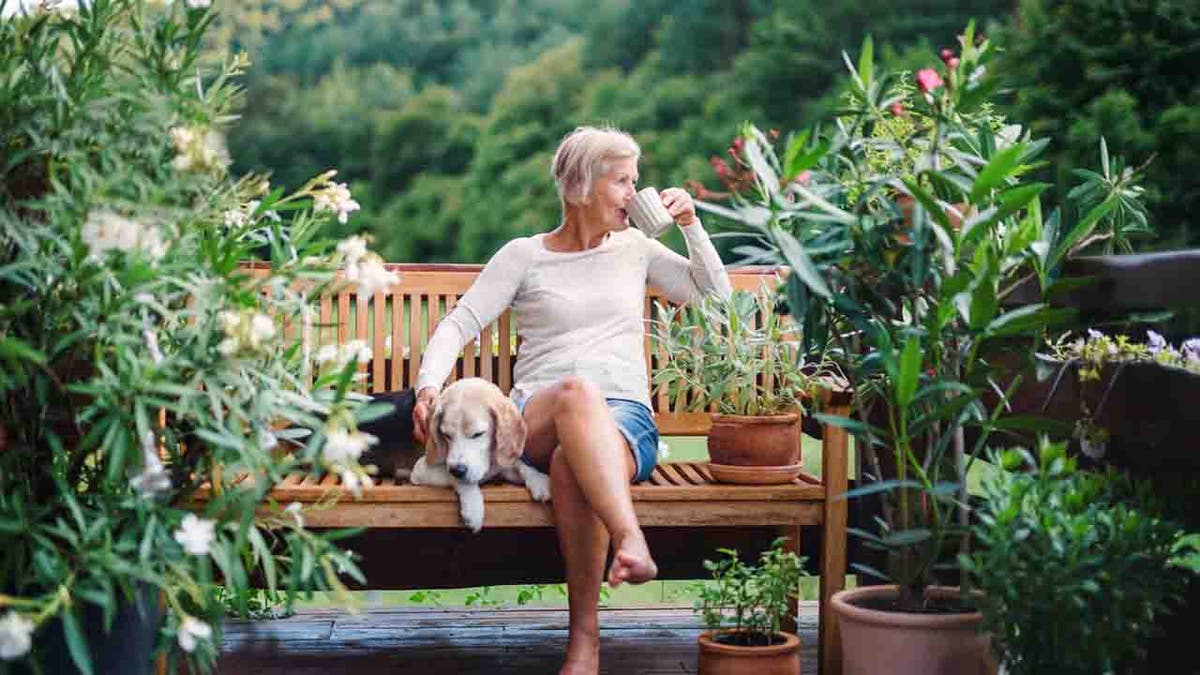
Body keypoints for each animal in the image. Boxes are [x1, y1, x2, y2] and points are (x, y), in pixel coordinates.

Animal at [405, 379, 549, 530]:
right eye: (446, 435)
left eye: (478, 434)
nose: (458, 470)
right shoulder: (420, 470)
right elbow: (459, 479)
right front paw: (473, 509)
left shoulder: (502, 467)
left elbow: (520, 464)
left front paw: (538, 479)